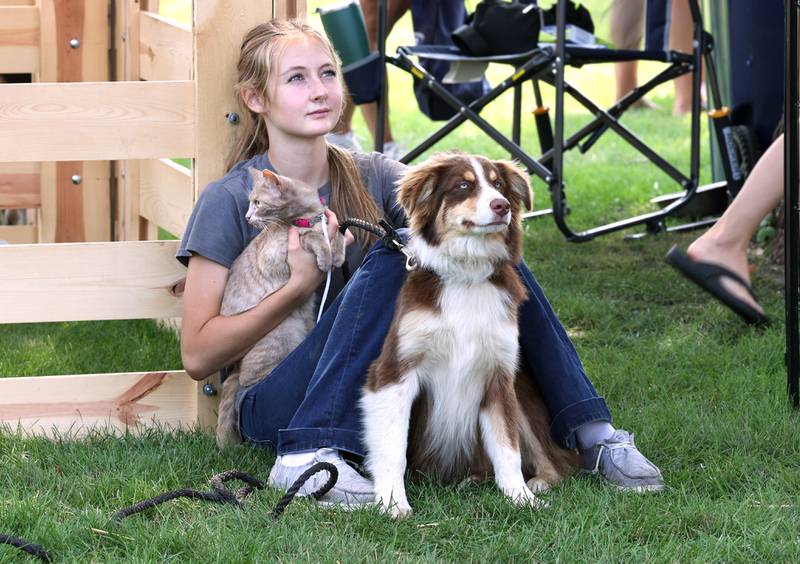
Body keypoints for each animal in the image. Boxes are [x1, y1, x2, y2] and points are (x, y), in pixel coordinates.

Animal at [216, 169, 346, 450]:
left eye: (258, 203)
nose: (248, 217)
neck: (306, 218)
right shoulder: (278, 253)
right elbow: (313, 238)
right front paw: (326, 256)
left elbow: (338, 234)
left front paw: (338, 252)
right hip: (282, 334)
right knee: (246, 380)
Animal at [360, 152, 576, 516]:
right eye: (463, 186)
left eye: (499, 185)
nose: (502, 205)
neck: (467, 274)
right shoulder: (394, 371)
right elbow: (393, 448)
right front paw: (393, 503)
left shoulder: (499, 376)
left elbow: (508, 448)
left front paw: (520, 498)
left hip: (522, 394)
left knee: (556, 461)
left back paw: (535, 483)